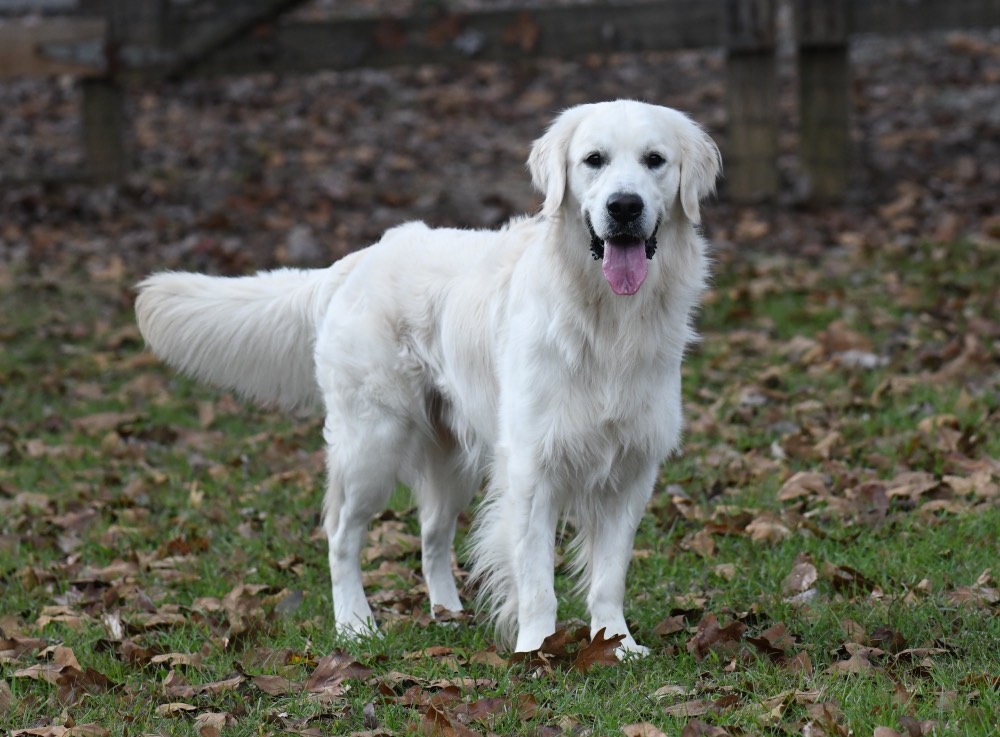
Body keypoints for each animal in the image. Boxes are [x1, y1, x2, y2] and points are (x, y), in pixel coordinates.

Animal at [137, 99, 724, 656]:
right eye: (594, 160)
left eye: (654, 160)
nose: (624, 206)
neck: (608, 320)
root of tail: (357, 260)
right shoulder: (531, 468)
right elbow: (537, 579)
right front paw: (537, 648)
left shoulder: (632, 468)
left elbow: (609, 577)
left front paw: (617, 644)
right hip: (372, 444)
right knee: (341, 535)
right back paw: (355, 626)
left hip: (451, 457)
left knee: (431, 535)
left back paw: (447, 612)